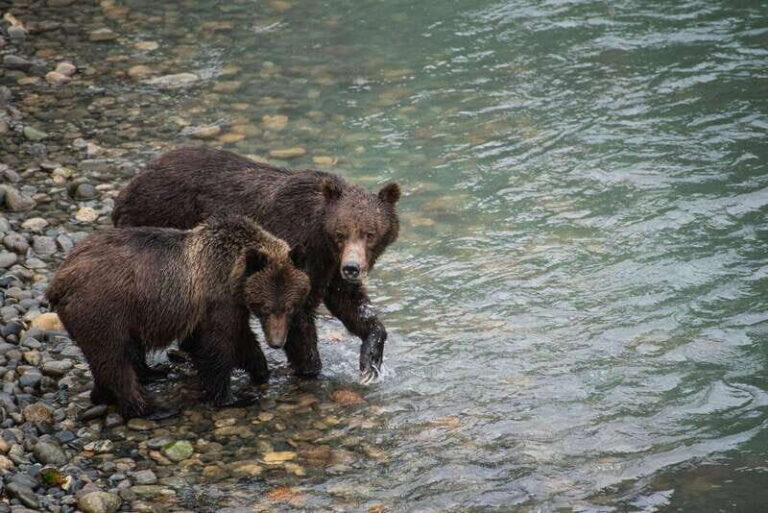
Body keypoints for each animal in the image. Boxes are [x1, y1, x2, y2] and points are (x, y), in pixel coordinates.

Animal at [46, 215, 310, 418]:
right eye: (266, 307)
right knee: (114, 358)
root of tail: (60, 279)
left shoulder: (229, 305)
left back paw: (121, 386)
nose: (276, 342)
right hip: (104, 308)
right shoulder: (216, 300)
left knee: (113, 355)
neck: (234, 278)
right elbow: (218, 345)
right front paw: (232, 397)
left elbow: (241, 338)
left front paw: (261, 371)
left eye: (289, 307)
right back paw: (150, 408)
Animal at [112, 146, 400, 384]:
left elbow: (350, 303)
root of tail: (128, 188)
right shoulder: (296, 248)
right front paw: (312, 368)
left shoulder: (329, 268)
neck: (321, 239)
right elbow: (297, 315)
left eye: (369, 233)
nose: (352, 267)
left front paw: (370, 359)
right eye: (341, 233)